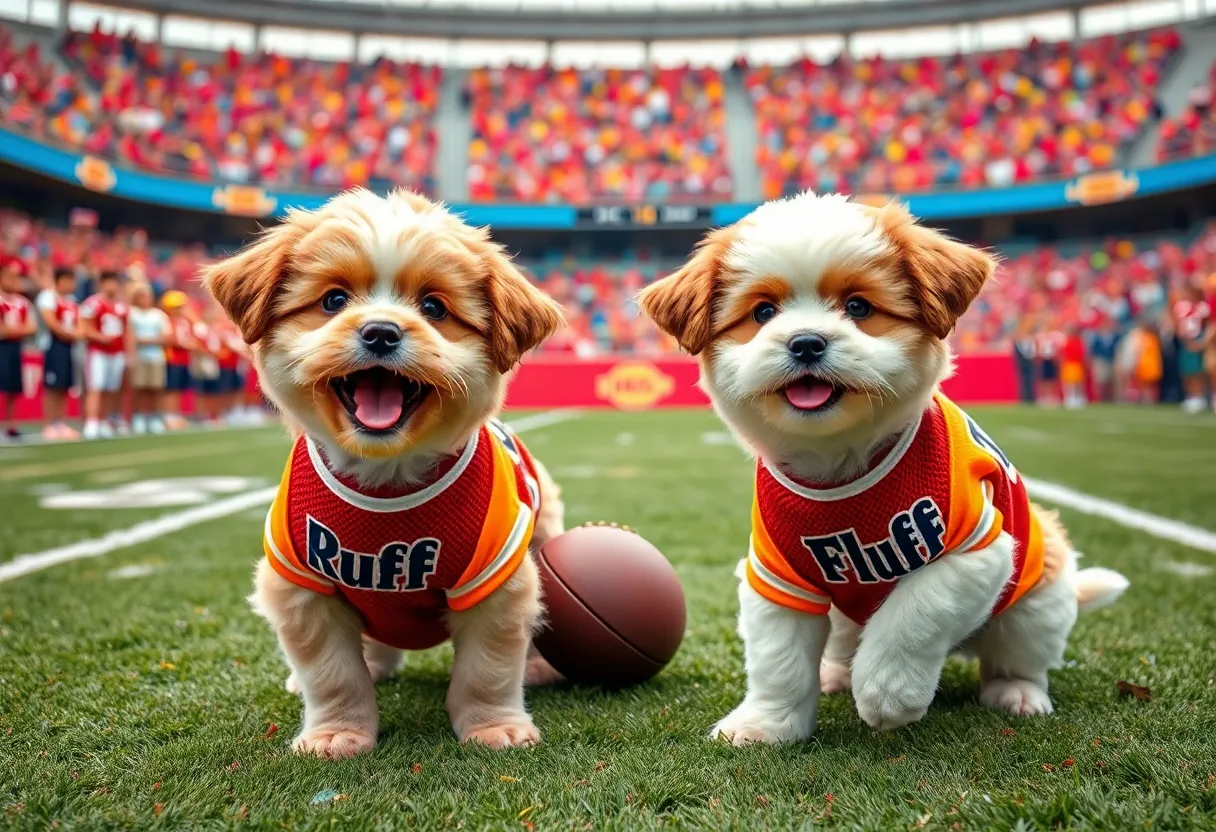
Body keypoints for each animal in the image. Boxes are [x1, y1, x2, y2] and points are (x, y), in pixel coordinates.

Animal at [206, 189, 566, 759]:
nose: (380, 331)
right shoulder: (301, 582)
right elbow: (333, 674)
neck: (386, 478)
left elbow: (486, 670)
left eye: (434, 308)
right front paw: (336, 733)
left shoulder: (498, 582)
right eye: (334, 301)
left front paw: (493, 727)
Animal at [642, 193, 1123, 739]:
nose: (805, 341)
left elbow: (915, 610)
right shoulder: (776, 573)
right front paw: (766, 724)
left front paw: (889, 692)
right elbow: (778, 659)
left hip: (1037, 599)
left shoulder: (978, 548)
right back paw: (834, 675)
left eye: (858, 307)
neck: (841, 466)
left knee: (1016, 657)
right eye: (763, 312)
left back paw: (1016, 693)